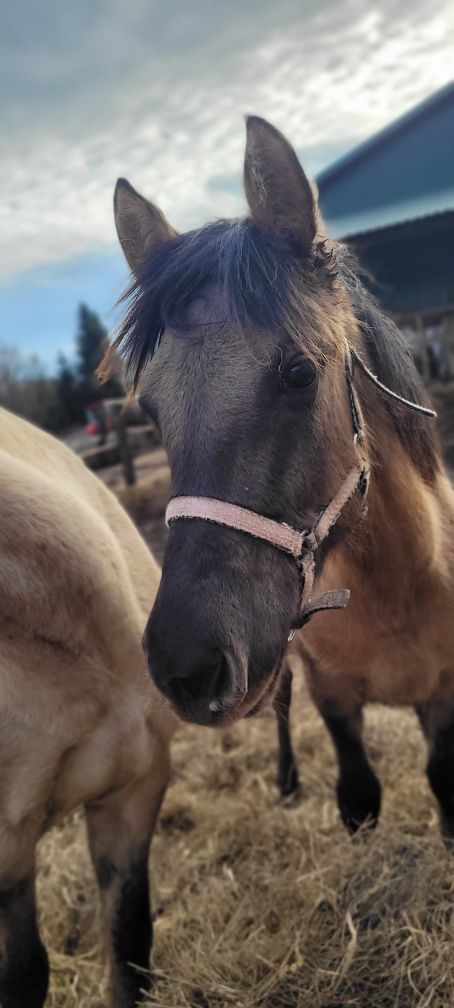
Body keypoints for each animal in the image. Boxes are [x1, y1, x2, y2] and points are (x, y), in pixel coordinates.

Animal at [108, 114, 453, 846]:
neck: (398, 589)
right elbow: (357, 796)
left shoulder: (445, 696)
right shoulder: (331, 695)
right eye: (151, 410)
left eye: (298, 374)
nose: (185, 666)